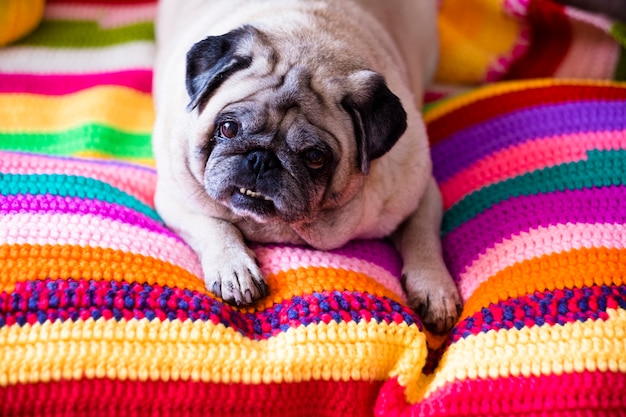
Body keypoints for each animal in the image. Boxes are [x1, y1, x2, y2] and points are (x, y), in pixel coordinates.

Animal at [153, 0, 460, 332]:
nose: (261, 159)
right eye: (228, 129)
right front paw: (233, 267)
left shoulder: (419, 189)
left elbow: (423, 236)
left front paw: (434, 289)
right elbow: (213, 225)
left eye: (315, 157)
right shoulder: (175, 197)